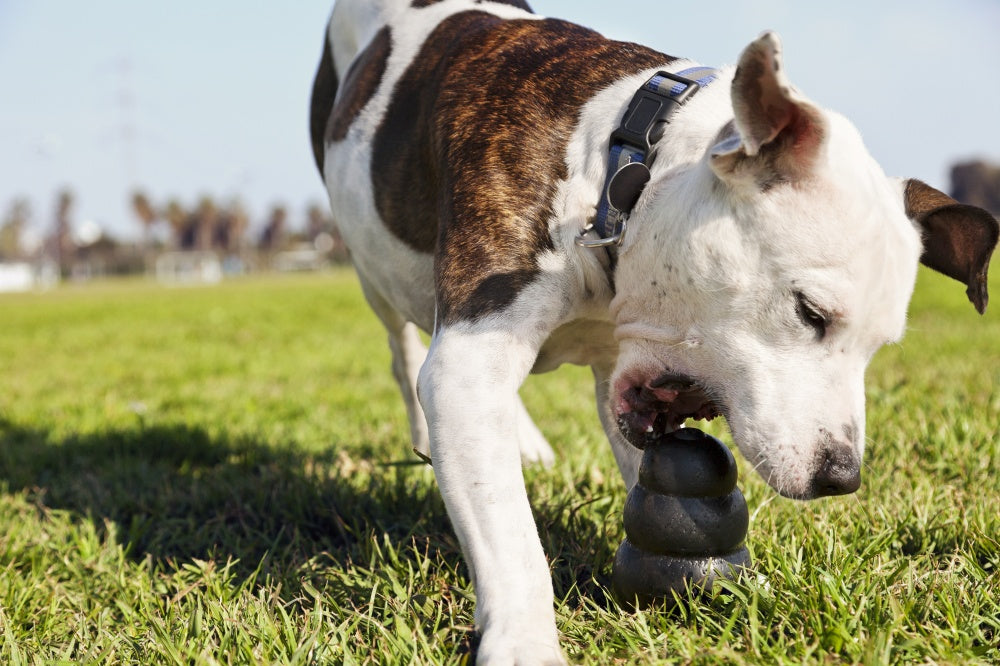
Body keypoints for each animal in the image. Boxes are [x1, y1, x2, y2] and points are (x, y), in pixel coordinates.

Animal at [308, 0, 996, 660]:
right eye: (811, 312)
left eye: (879, 348)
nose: (841, 476)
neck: (621, 172)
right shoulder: (467, 364)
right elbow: (509, 536)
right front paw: (525, 640)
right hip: (373, 273)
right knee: (403, 345)